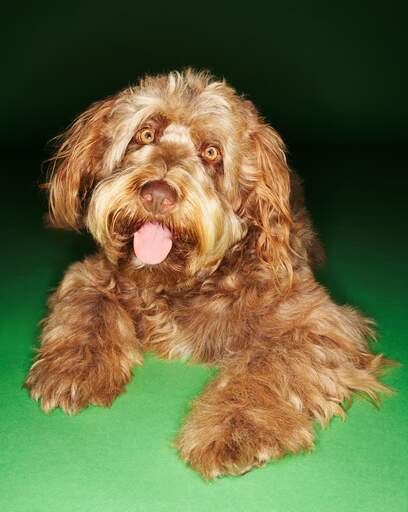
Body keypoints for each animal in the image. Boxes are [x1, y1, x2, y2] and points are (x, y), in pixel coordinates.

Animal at [23, 69, 390, 480]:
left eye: (212, 152)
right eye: (145, 134)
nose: (157, 194)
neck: (181, 282)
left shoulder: (319, 319)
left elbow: (269, 363)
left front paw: (234, 426)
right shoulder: (90, 274)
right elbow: (87, 308)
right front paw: (74, 367)